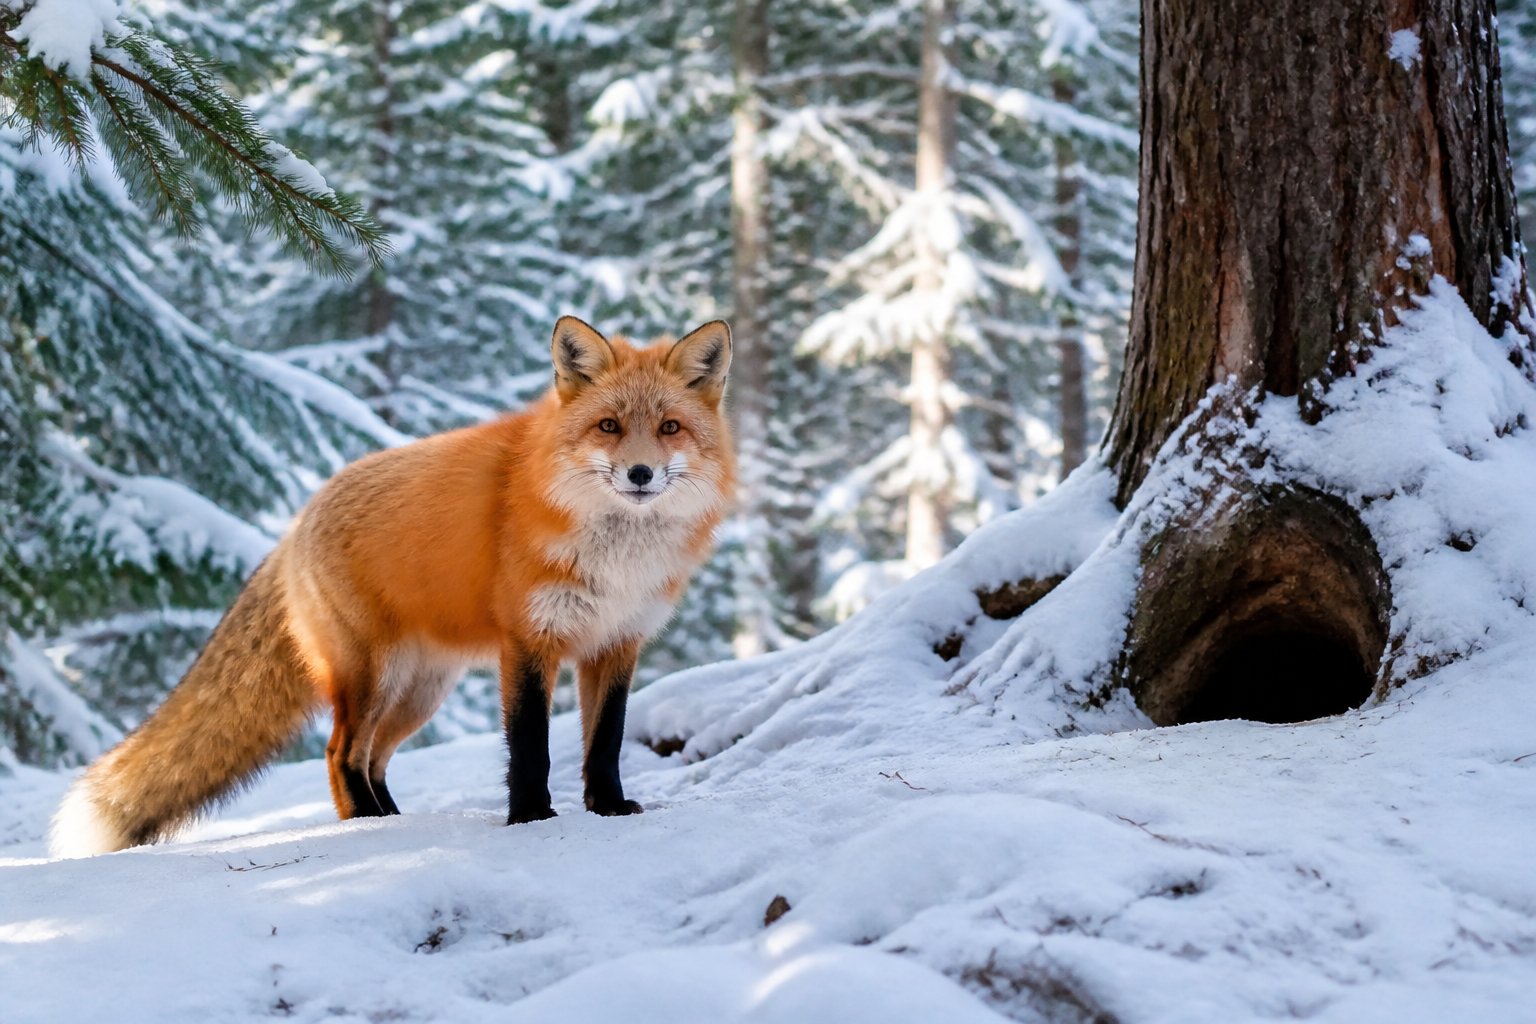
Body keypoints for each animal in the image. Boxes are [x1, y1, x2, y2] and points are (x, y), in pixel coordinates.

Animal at [50, 316, 734, 857]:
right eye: (609, 426)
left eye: (670, 428)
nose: (640, 473)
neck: (616, 556)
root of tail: (296, 523)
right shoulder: (528, 640)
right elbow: (529, 746)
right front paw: (531, 819)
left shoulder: (616, 642)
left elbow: (605, 743)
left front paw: (608, 810)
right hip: (369, 676)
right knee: (340, 754)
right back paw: (364, 825)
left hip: (417, 693)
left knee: (373, 756)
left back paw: (392, 822)